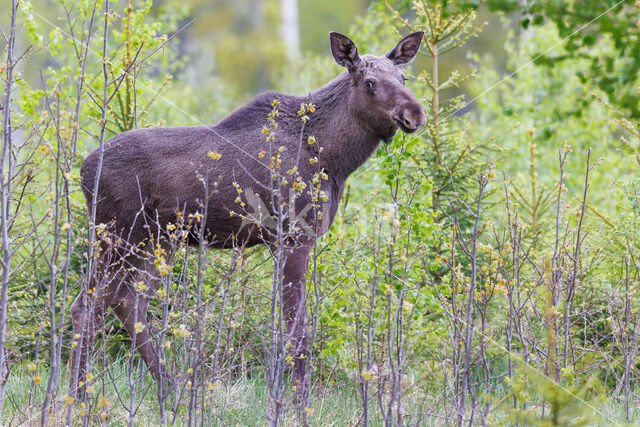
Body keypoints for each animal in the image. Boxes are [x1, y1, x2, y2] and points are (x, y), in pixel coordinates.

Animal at [71, 31, 424, 396]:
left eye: (404, 78)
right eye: (369, 82)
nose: (414, 114)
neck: (335, 160)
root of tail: (82, 170)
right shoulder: (294, 236)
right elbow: (297, 332)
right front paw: (299, 400)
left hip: (159, 240)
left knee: (128, 302)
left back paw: (169, 389)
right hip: (118, 235)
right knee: (87, 305)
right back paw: (78, 395)